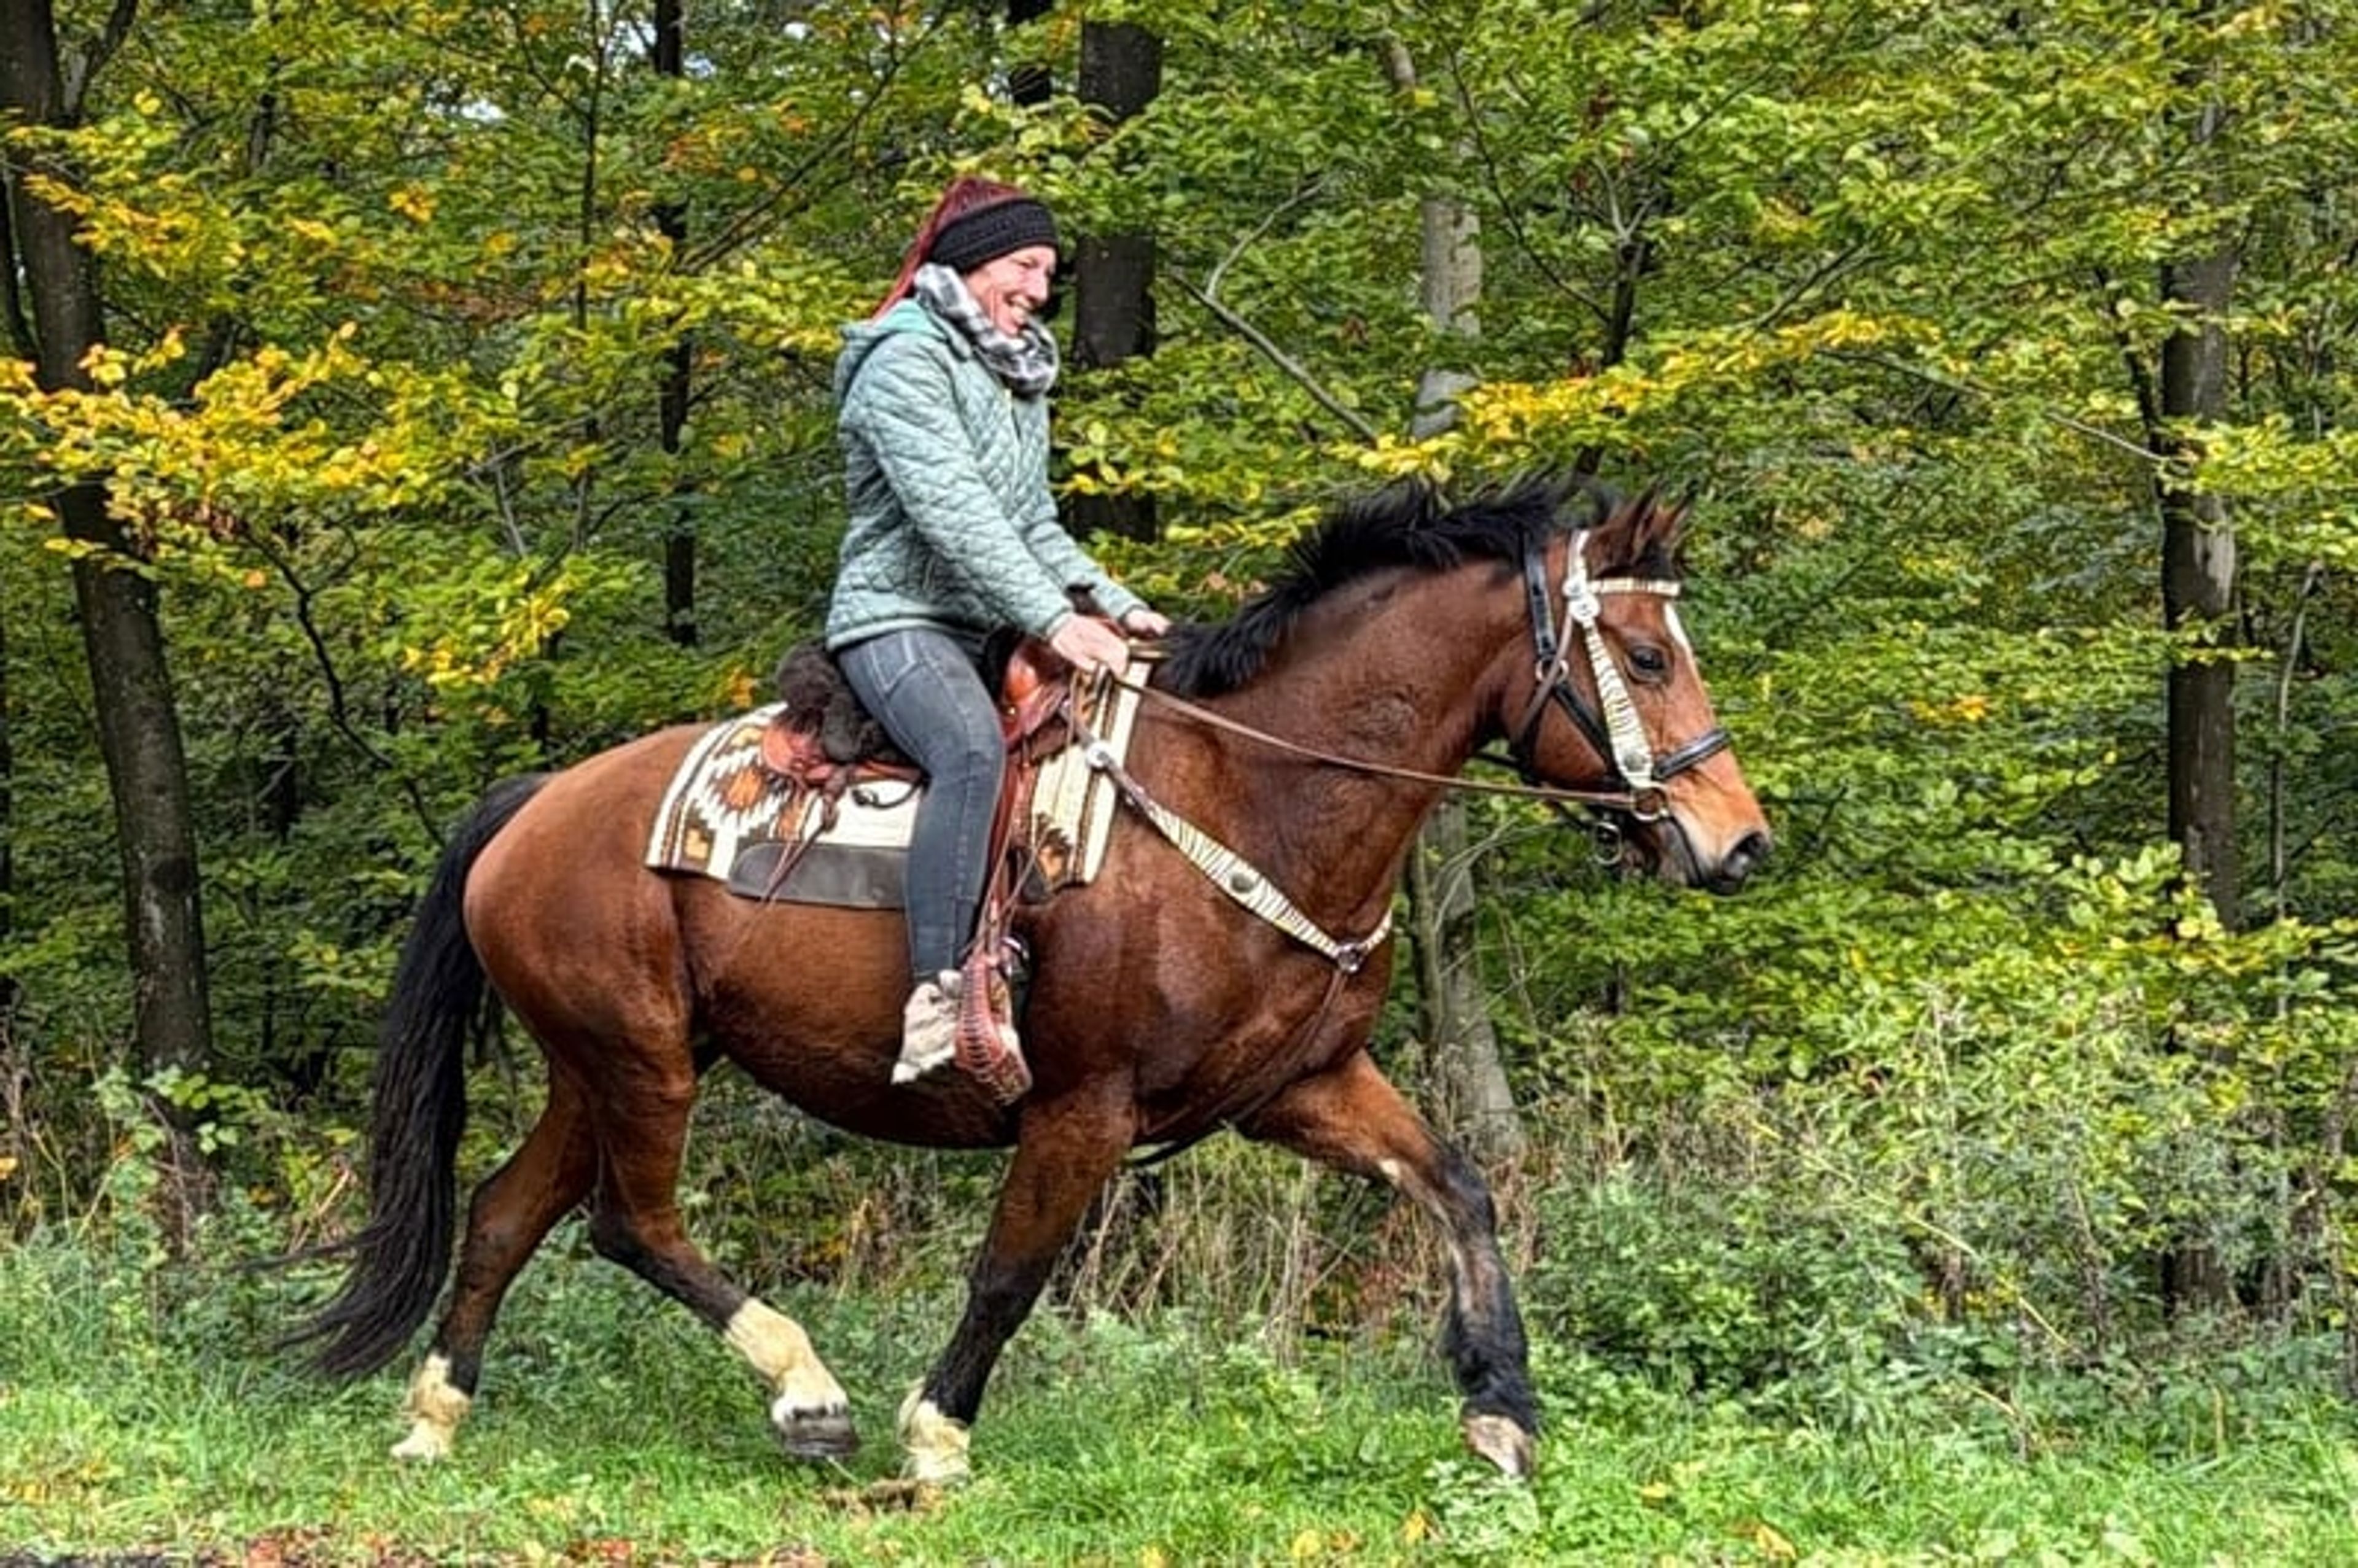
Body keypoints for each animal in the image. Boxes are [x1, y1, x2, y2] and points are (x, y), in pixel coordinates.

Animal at [292, 473, 1771, 1485]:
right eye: (1647, 657)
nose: (1739, 838)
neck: (1250, 790)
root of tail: (536, 803)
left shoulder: (1301, 1084)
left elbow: (1456, 1183)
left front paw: (1501, 1405)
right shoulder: (1082, 1107)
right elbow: (1012, 1268)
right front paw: (936, 1431)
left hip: (595, 1063)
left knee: (505, 1213)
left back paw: (435, 1416)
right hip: (643, 1062)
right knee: (628, 1222)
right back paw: (805, 1390)